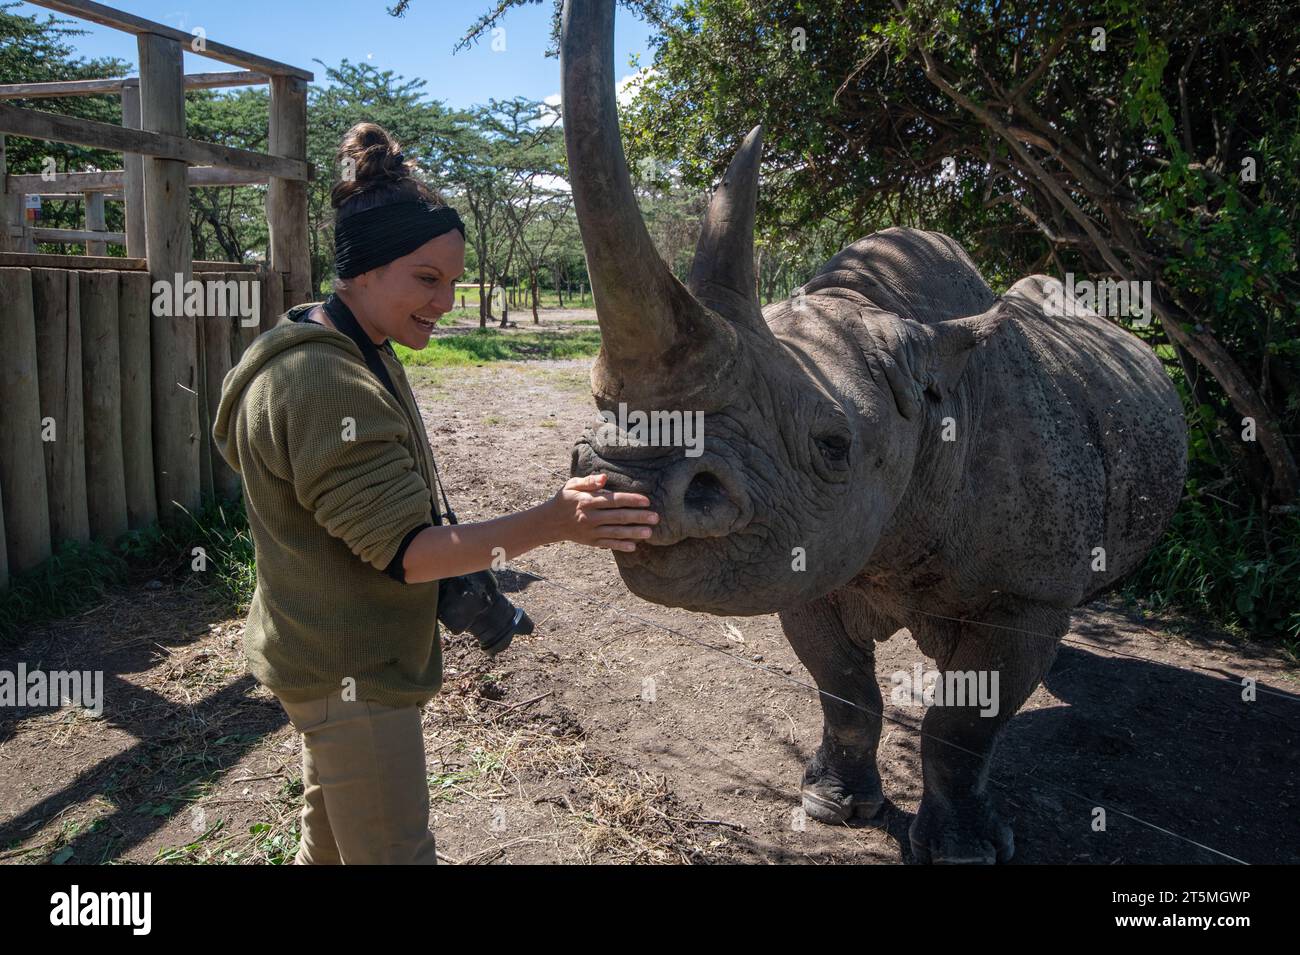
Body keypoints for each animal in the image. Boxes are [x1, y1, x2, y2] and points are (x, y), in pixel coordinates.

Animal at [560, 0, 1187, 863]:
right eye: (599, 406)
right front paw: (831, 805)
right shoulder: (812, 551)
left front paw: (962, 849)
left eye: (833, 444)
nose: (625, 486)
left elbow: (964, 725)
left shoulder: (1022, 595)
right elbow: (845, 688)